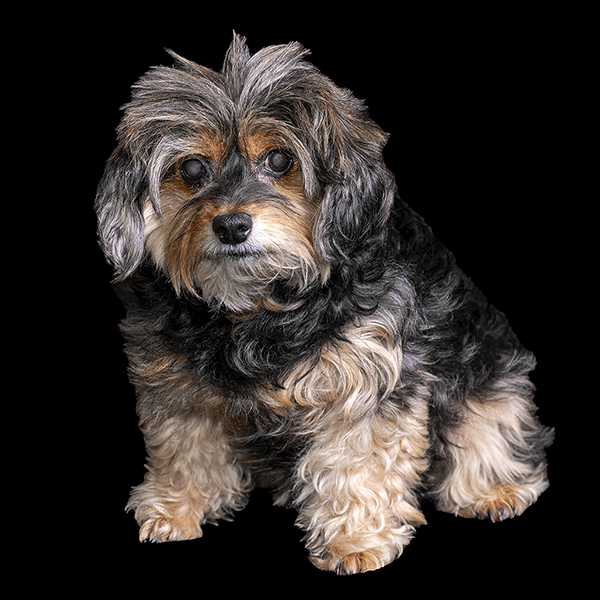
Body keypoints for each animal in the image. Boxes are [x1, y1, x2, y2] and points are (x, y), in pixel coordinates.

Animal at [95, 34, 553, 574]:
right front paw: (178, 507)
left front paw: (354, 541)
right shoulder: (177, 386)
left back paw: (494, 491)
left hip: (493, 378)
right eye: (190, 168)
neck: (260, 304)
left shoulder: (367, 383)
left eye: (279, 160)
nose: (231, 225)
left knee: (492, 432)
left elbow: (357, 464)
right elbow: (186, 447)